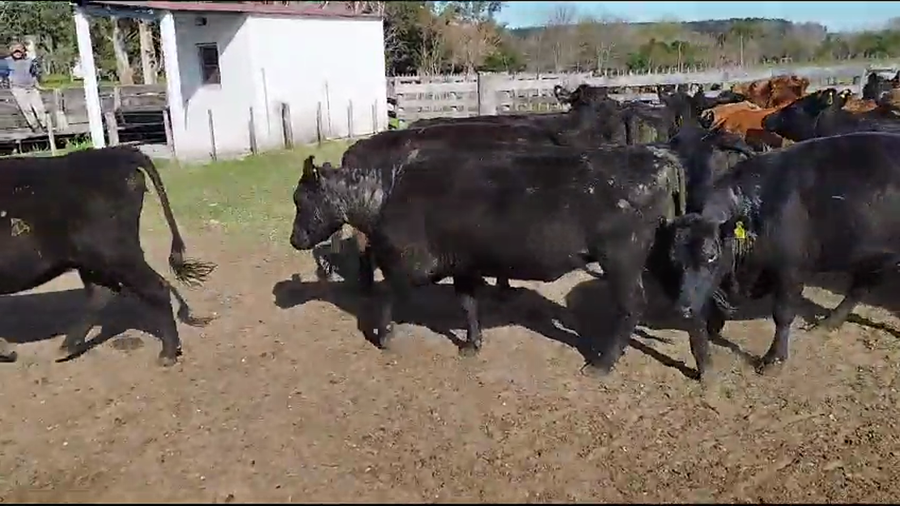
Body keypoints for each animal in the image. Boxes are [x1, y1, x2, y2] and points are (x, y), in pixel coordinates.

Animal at [0, 146, 215, 366]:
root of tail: (117, 152)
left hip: (115, 252)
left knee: (155, 287)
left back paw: (167, 354)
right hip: (93, 260)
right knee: (101, 292)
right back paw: (66, 348)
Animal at [289, 126, 754, 378]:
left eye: (301, 199)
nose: (294, 239)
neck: (386, 191)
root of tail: (658, 154)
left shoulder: (409, 264)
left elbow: (387, 296)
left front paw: (384, 336)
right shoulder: (464, 264)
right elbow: (468, 303)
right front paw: (472, 344)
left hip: (622, 258)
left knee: (631, 306)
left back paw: (602, 364)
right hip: (659, 254)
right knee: (689, 305)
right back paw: (705, 367)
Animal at [667, 132, 900, 381]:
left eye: (711, 256)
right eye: (675, 258)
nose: (683, 309)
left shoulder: (791, 271)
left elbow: (783, 314)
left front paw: (773, 359)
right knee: (861, 286)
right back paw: (829, 323)